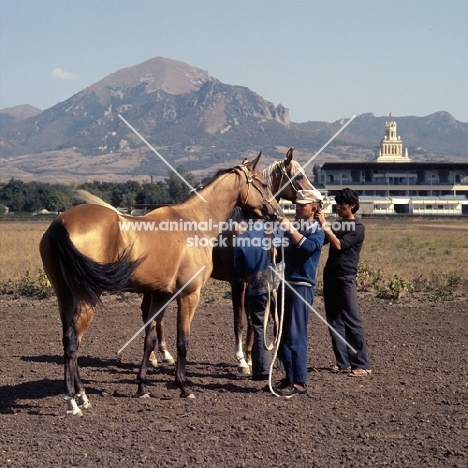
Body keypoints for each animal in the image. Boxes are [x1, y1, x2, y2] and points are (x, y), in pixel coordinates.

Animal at [39, 156, 282, 416]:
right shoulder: (189, 295)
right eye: (262, 184)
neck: (193, 222)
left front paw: (142, 386)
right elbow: (183, 341)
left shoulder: (161, 295)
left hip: (65, 297)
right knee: (73, 342)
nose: (276, 213)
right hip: (86, 297)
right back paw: (73, 402)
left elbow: (150, 339)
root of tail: (60, 222)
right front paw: (184, 387)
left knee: (68, 340)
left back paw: (82, 396)